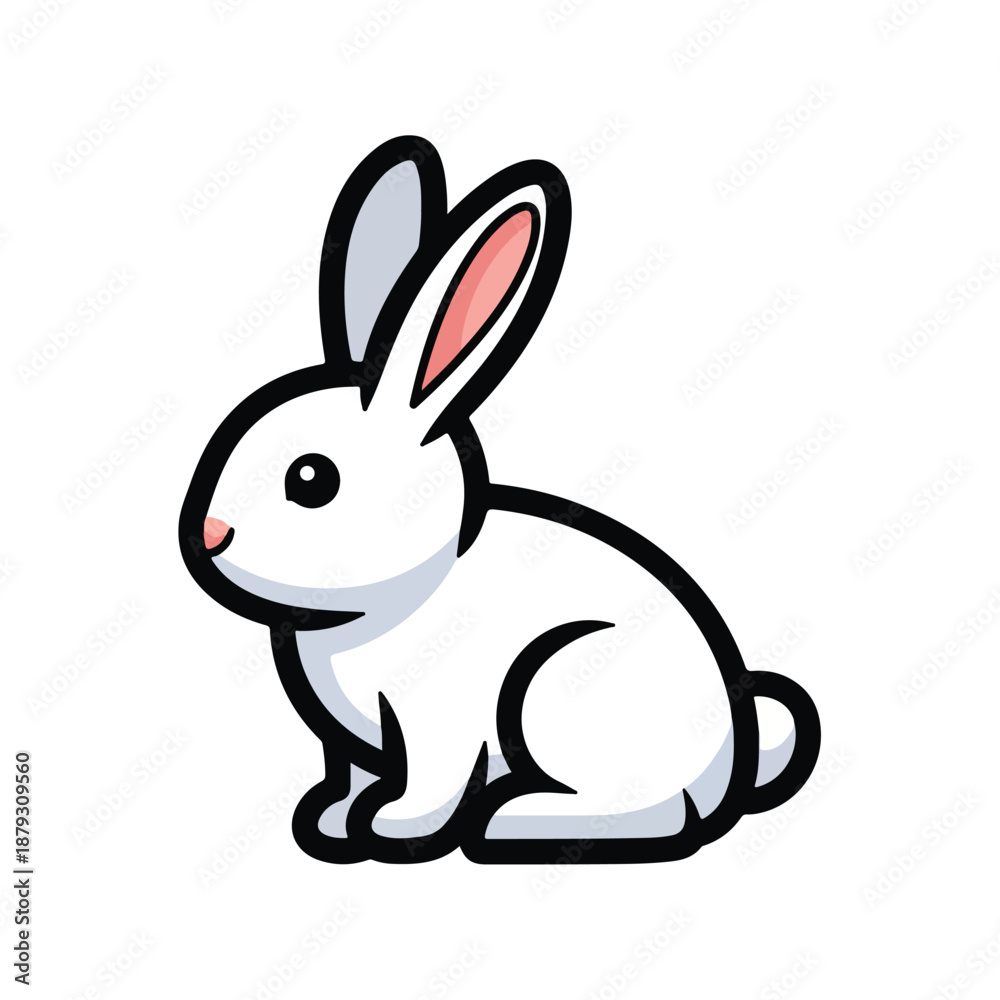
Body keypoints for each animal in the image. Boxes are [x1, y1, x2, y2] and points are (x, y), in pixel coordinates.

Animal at [179, 135, 820, 865]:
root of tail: (731, 759)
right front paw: (334, 825)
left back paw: (511, 820)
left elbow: (429, 779)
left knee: (648, 814)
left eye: (311, 479)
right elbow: (356, 775)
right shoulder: (355, 747)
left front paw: (392, 831)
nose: (209, 534)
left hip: (554, 686)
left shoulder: (437, 721)